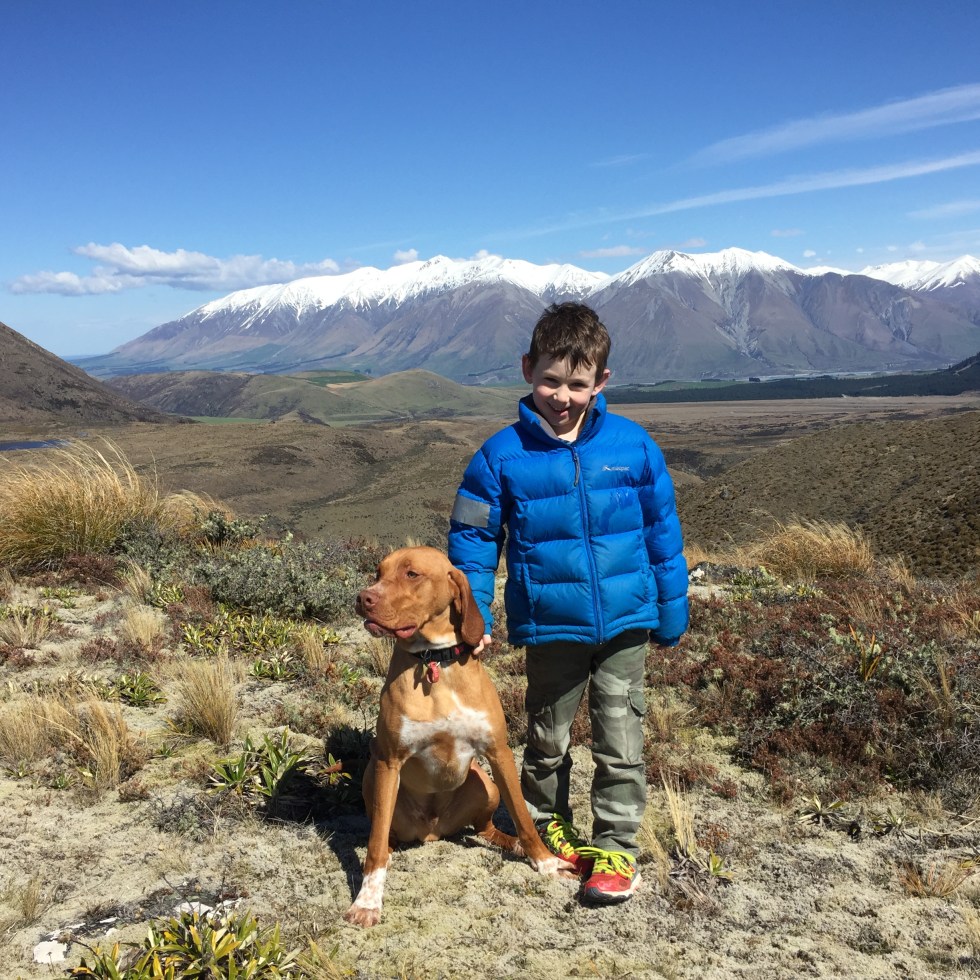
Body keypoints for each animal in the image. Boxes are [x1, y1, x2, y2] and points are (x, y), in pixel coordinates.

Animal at [344, 545, 571, 926]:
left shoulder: (498, 752)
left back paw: (513, 844)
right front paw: (368, 901)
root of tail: (433, 831)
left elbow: (523, 816)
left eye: (412, 574)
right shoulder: (389, 760)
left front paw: (546, 861)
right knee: (383, 835)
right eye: (378, 573)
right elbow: (375, 848)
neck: (435, 662)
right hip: (373, 779)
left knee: (485, 829)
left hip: (487, 785)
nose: (364, 598)